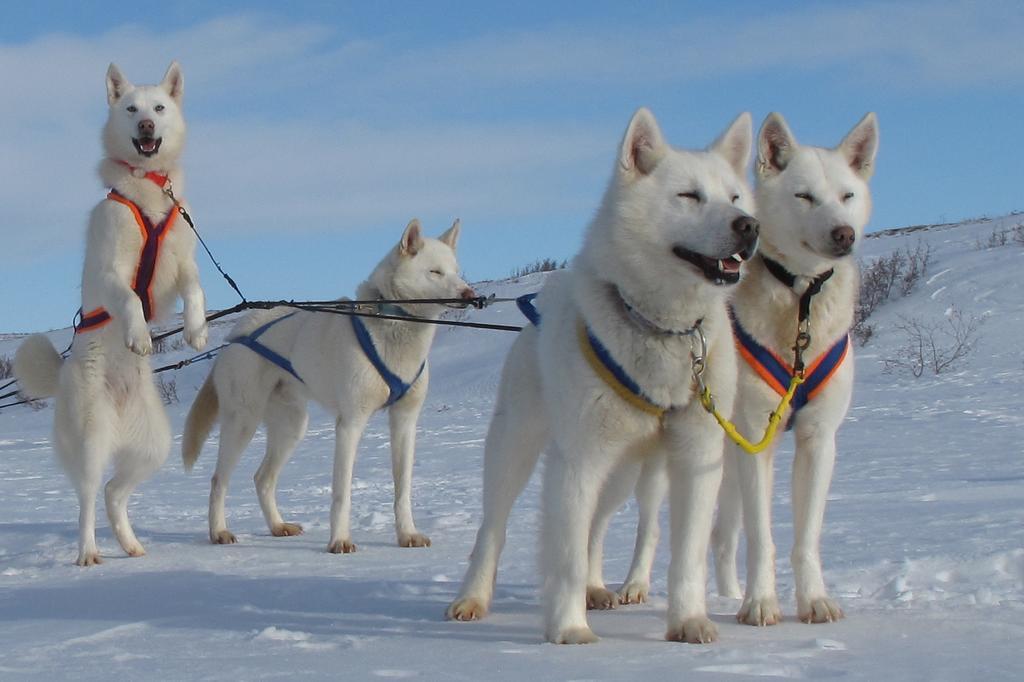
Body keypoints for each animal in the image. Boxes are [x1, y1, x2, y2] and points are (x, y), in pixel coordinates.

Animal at [13, 62, 207, 561]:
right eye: (131, 109)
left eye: (159, 107)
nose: (147, 126)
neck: (149, 191)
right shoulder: (110, 272)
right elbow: (132, 299)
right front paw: (138, 336)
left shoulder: (182, 262)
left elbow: (196, 289)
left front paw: (197, 330)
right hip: (90, 443)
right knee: (86, 498)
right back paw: (88, 553)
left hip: (154, 447)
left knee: (113, 493)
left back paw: (132, 544)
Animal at [182, 220, 473, 548]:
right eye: (435, 272)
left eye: (456, 270)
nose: (468, 292)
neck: (393, 327)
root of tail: (233, 338)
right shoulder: (350, 423)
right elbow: (341, 492)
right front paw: (340, 540)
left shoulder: (405, 421)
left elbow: (403, 489)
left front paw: (407, 533)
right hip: (243, 422)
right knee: (219, 480)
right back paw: (219, 530)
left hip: (292, 427)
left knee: (262, 478)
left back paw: (277, 526)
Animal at [448, 107, 761, 643]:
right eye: (689, 195)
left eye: (735, 197)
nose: (749, 226)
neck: (661, 328)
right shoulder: (579, 460)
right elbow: (566, 554)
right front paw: (569, 629)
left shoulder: (697, 458)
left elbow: (687, 555)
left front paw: (688, 621)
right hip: (517, 450)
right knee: (495, 528)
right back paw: (474, 597)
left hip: (624, 471)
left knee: (595, 527)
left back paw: (597, 588)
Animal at [712, 112, 880, 626]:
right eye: (803, 196)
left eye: (847, 195)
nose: (844, 233)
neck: (801, 296)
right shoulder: (756, 438)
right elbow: (762, 538)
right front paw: (760, 604)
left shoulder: (817, 440)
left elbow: (806, 539)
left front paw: (814, 601)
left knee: (721, 538)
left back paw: (724, 595)